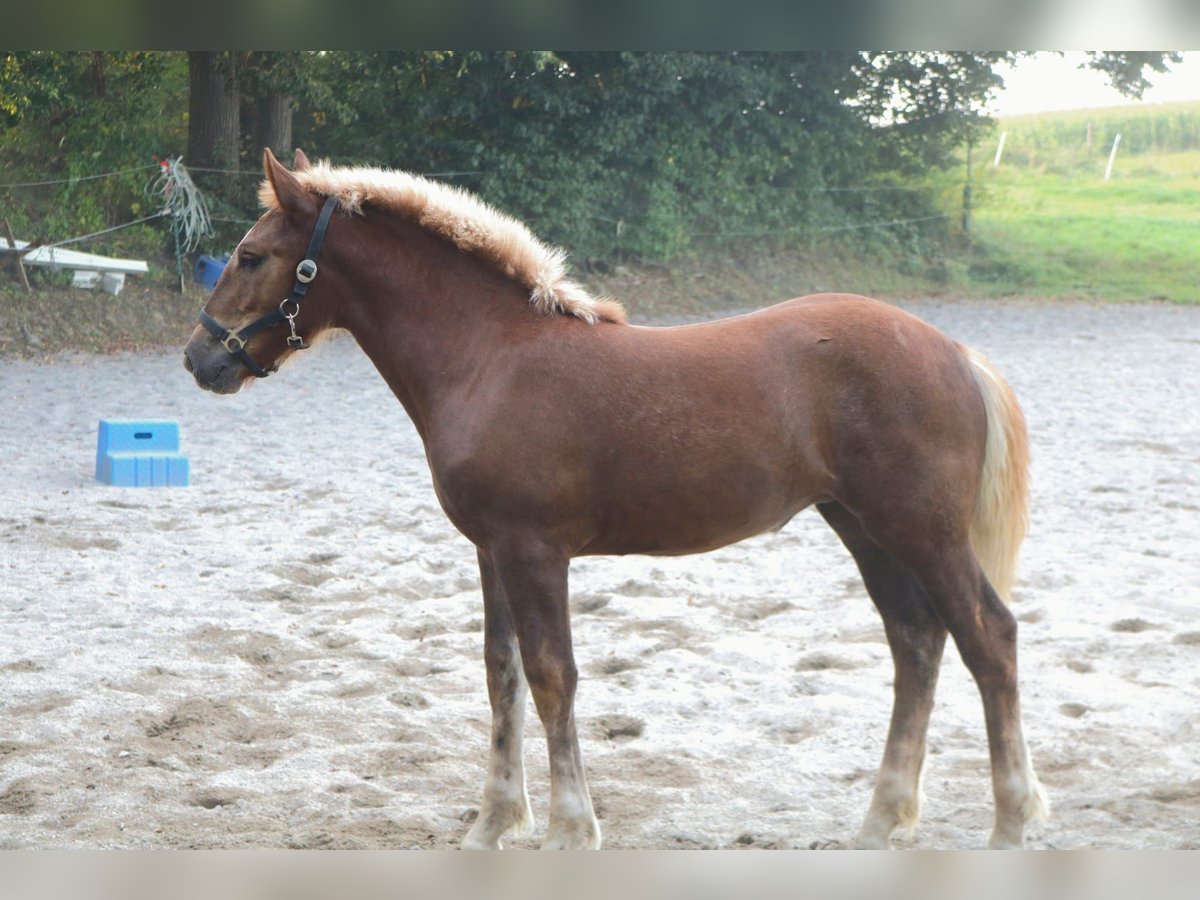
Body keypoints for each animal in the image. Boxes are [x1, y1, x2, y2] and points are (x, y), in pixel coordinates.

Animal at [182, 150, 1046, 854]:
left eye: (250, 255)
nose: (199, 359)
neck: (489, 357)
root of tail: (954, 351)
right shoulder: (492, 550)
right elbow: (501, 674)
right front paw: (494, 824)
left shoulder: (534, 550)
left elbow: (552, 676)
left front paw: (570, 829)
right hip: (868, 529)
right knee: (916, 643)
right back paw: (882, 819)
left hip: (922, 531)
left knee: (988, 638)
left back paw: (1012, 820)